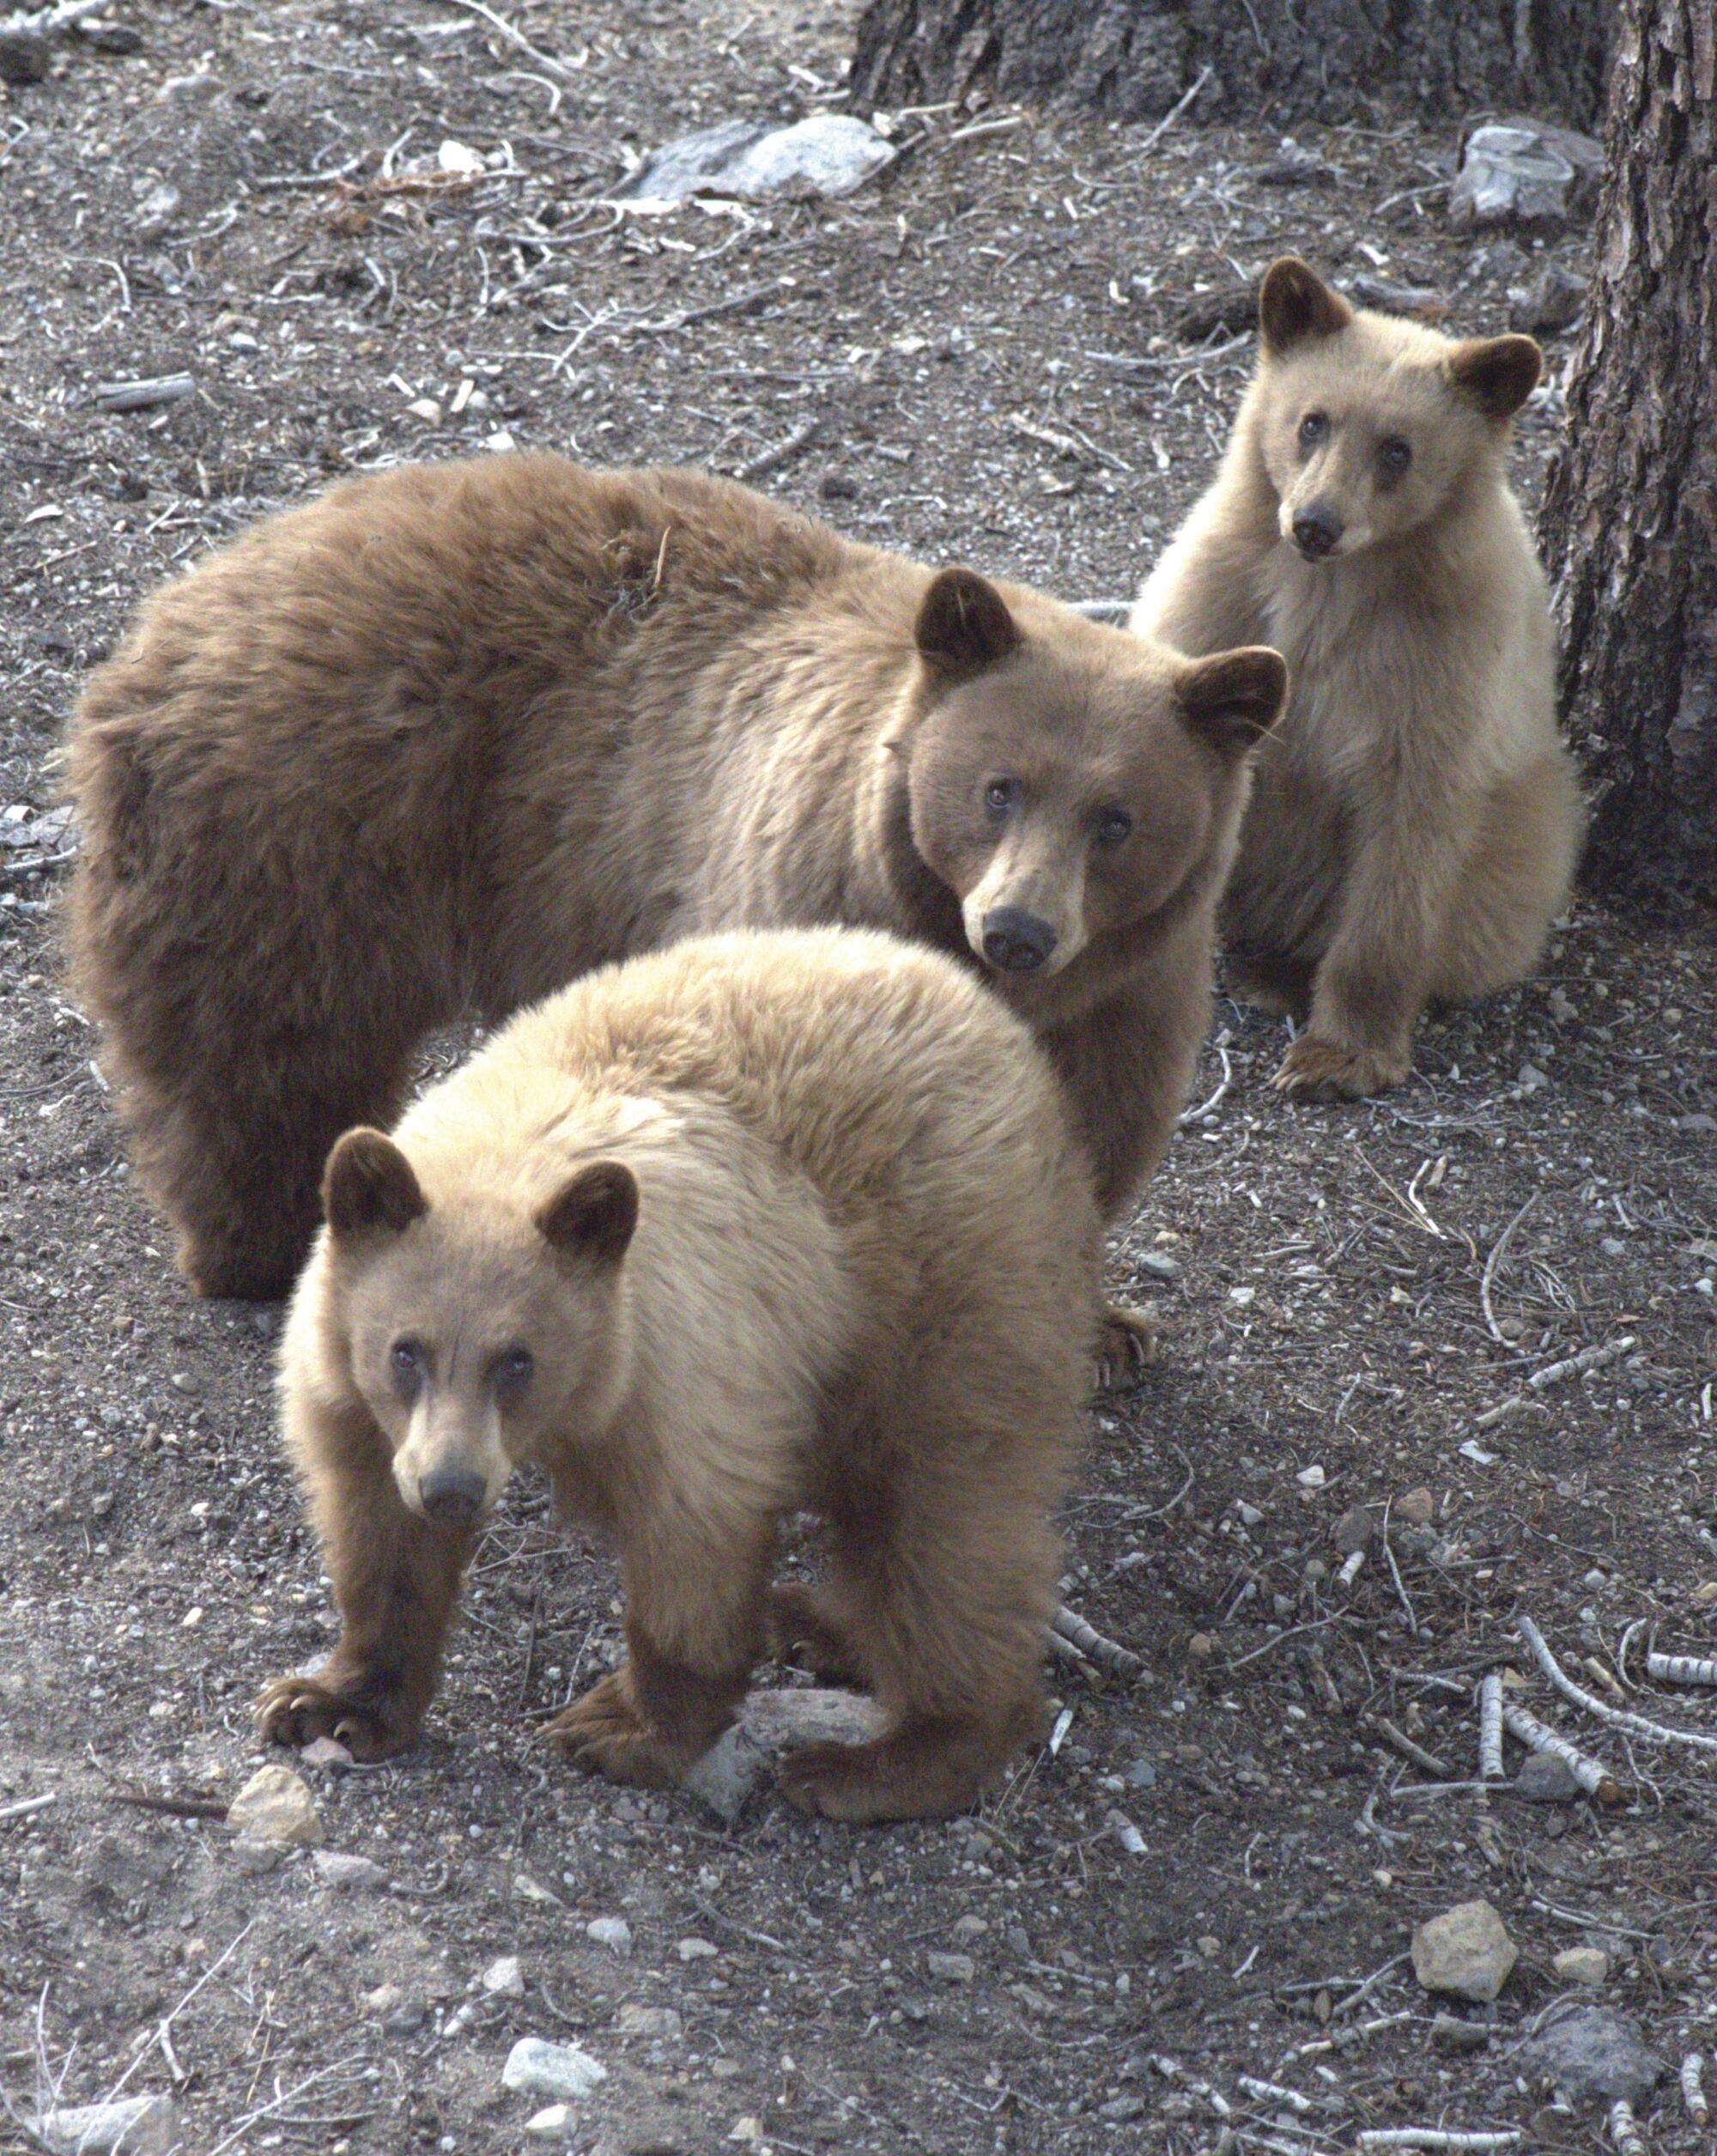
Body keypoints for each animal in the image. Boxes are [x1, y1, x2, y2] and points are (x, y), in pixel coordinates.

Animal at [67, 457, 1277, 1327]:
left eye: (1116, 820)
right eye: (996, 789)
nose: (1017, 928)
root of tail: (177, 606)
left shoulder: (1122, 998)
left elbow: (1085, 1138)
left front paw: (1100, 1328)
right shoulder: (795, 906)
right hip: (298, 824)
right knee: (262, 1051)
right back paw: (261, 1246)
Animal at [254, 926, 1100, 1819]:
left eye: (518, 1359)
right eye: (404, 1350)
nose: (451, 1487)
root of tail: (990, 1017)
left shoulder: (680, 1360)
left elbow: (691, 1540)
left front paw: (622, 1725)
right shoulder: (356, 1395)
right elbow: (382, 1540)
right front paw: (330, 1699)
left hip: (949, 1288)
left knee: (941, 1521)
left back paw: (887, 1756)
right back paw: (816, 1622)